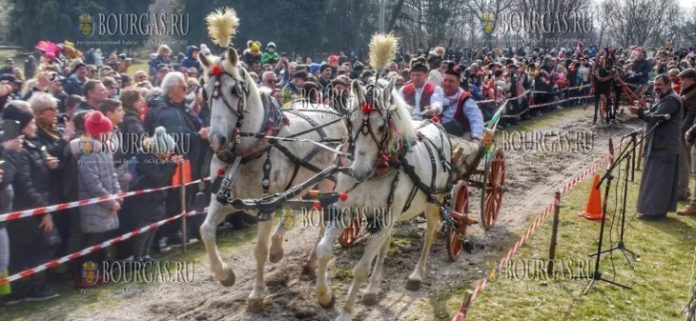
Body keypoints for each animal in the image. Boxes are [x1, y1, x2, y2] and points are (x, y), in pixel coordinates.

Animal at [196, 47, 348, 310]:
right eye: (204, 91)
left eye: (235, 90)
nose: (217, 140)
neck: (247, 152)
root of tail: (331, 109)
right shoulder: (222, 199)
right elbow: (205, 230)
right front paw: (225, 275)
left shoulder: (263, 207)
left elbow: (259, 250)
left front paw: (257, 294)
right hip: (299, 184)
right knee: (291, 210)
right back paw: (281, 247)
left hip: (328, 181)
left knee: (322, 222)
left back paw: (311, 260)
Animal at [314, 77, 452, 320]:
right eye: (350, 122)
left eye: (381, 126)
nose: (359, 172)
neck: (377, 171)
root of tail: (435, 123)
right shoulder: (346, 211)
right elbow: (323, 251)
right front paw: (325, 296)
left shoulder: (385, 218)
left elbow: (361, 269)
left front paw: (346, 311)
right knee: (386, 242)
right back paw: (372, 288)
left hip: (433, 202)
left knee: (430, 233)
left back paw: (416, 274)